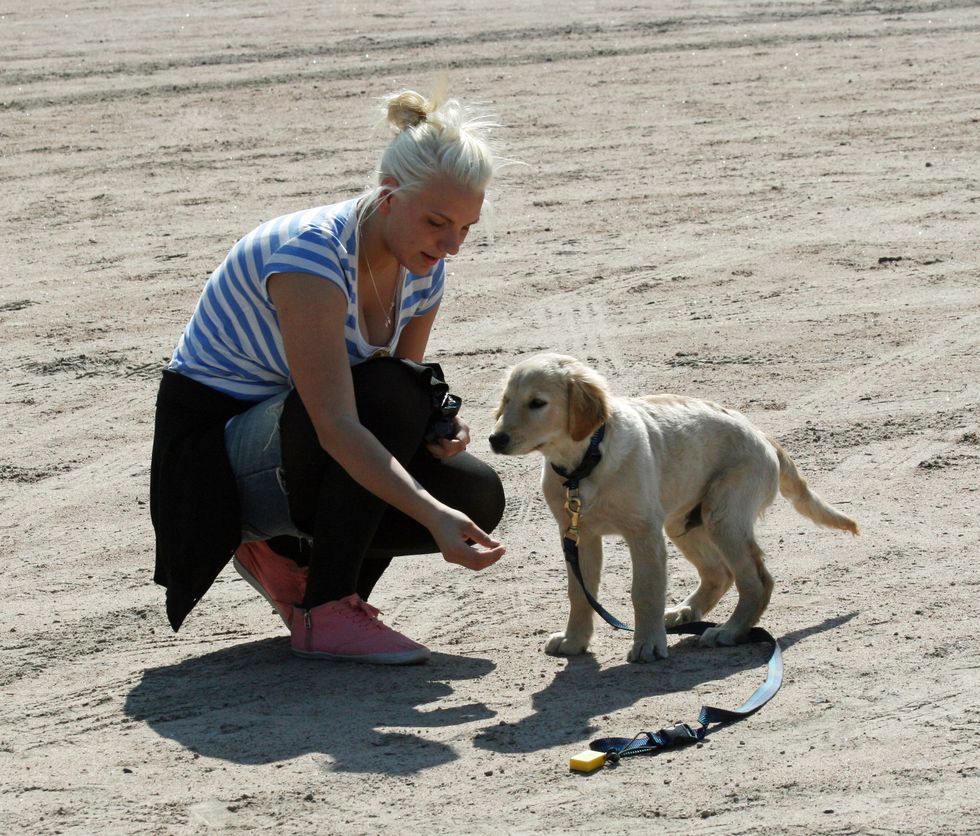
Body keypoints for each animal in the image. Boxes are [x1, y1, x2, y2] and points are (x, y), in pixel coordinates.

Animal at [488, 352, 856, 660]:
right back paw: (685, 613)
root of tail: (761, 434)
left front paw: (648, 644)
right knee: (719, 573)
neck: (584, 464)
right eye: (506, 401)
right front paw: (574, 641)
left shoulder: (644, 533)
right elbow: (580, 591)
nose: (495, 439)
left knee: (757, 581)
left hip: (723, 516)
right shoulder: (577, 534)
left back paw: (729, 631)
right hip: (683, 521)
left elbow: (645, 591)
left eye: (537, 403)